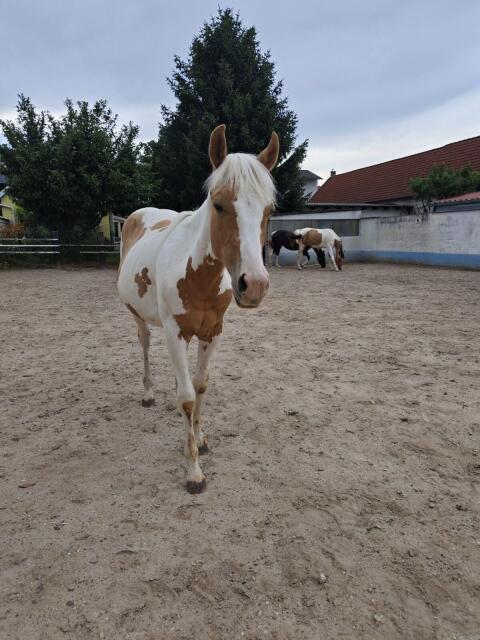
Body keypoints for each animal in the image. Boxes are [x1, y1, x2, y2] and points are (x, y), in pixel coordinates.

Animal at [117, 125, 279, 494]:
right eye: (218, 205)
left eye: (269, 210)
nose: (254, 285)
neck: (198, 274)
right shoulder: (175, 334)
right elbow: (187, 397)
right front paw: (193, 470)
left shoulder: (213, 332)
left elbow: (200, 385)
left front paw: (200, 438)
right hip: (140, 319)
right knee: (144, 346)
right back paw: (148, 393)